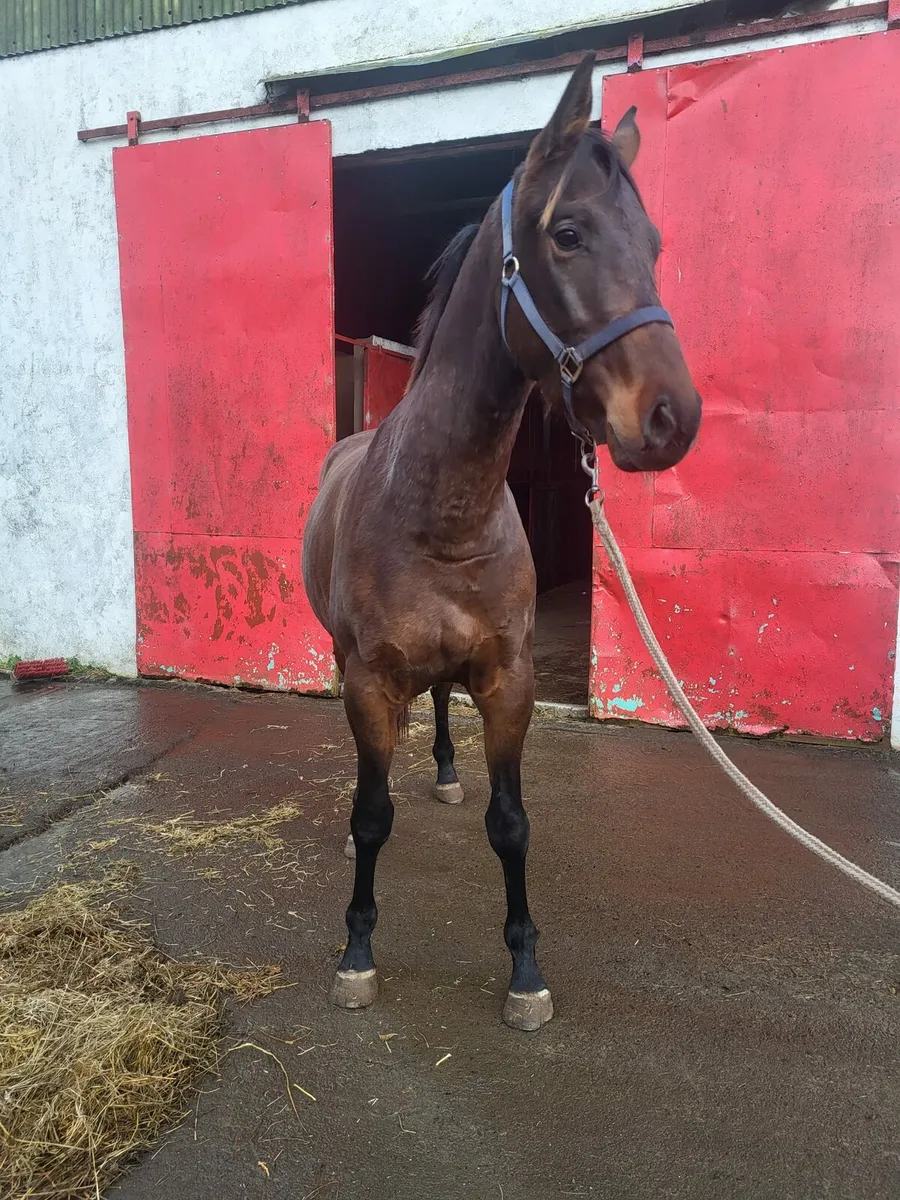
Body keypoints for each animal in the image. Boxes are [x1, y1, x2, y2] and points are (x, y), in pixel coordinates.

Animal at [301, 53, 702, 1031]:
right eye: (568, 233)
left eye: (654, 245)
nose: (673, 419)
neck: (441, 509)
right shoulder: (369, 682)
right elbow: (371, 816)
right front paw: (357, 953)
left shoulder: (507, 679)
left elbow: (510, 824)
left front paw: (526, 970)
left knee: (443, 709)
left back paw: (446, 771)